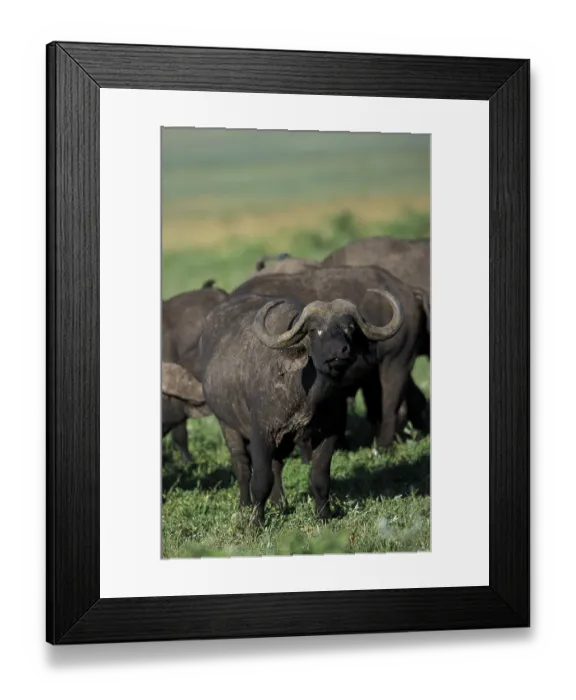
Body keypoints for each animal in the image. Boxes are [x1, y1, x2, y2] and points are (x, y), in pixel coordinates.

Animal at [199, 291, 403, 523]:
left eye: (349, 328)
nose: (339, 351)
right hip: (227, 425)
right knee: (242, 467)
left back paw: (279, 503)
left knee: (277, 465)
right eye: (314, 330)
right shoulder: (262, 434)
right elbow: (261, 480)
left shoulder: (329, 434)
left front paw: (324, 515)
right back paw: (245, 505)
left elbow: (319, 478)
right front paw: (256, 521)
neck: (307, 396)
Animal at [231, 266, 430, 448]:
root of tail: (407, 290)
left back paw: (382, 446)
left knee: (391, 406)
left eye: (350, 327)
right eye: (313, 330)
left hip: (397, 362)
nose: (339, 351)